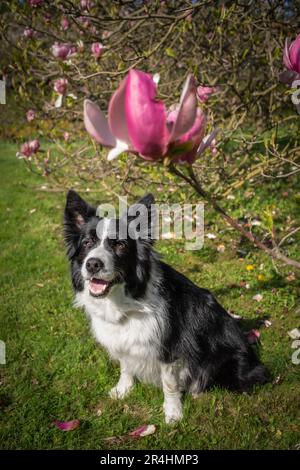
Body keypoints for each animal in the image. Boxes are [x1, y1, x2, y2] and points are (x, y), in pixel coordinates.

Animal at [63, 189, 270, 424]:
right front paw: (123, 390)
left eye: (120, 245)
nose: (93, 264)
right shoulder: (124, 341)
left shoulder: (170, 346)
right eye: (87, 242)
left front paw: (173, 412)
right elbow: (126, 367)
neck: (126, 301)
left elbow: (169, 383)